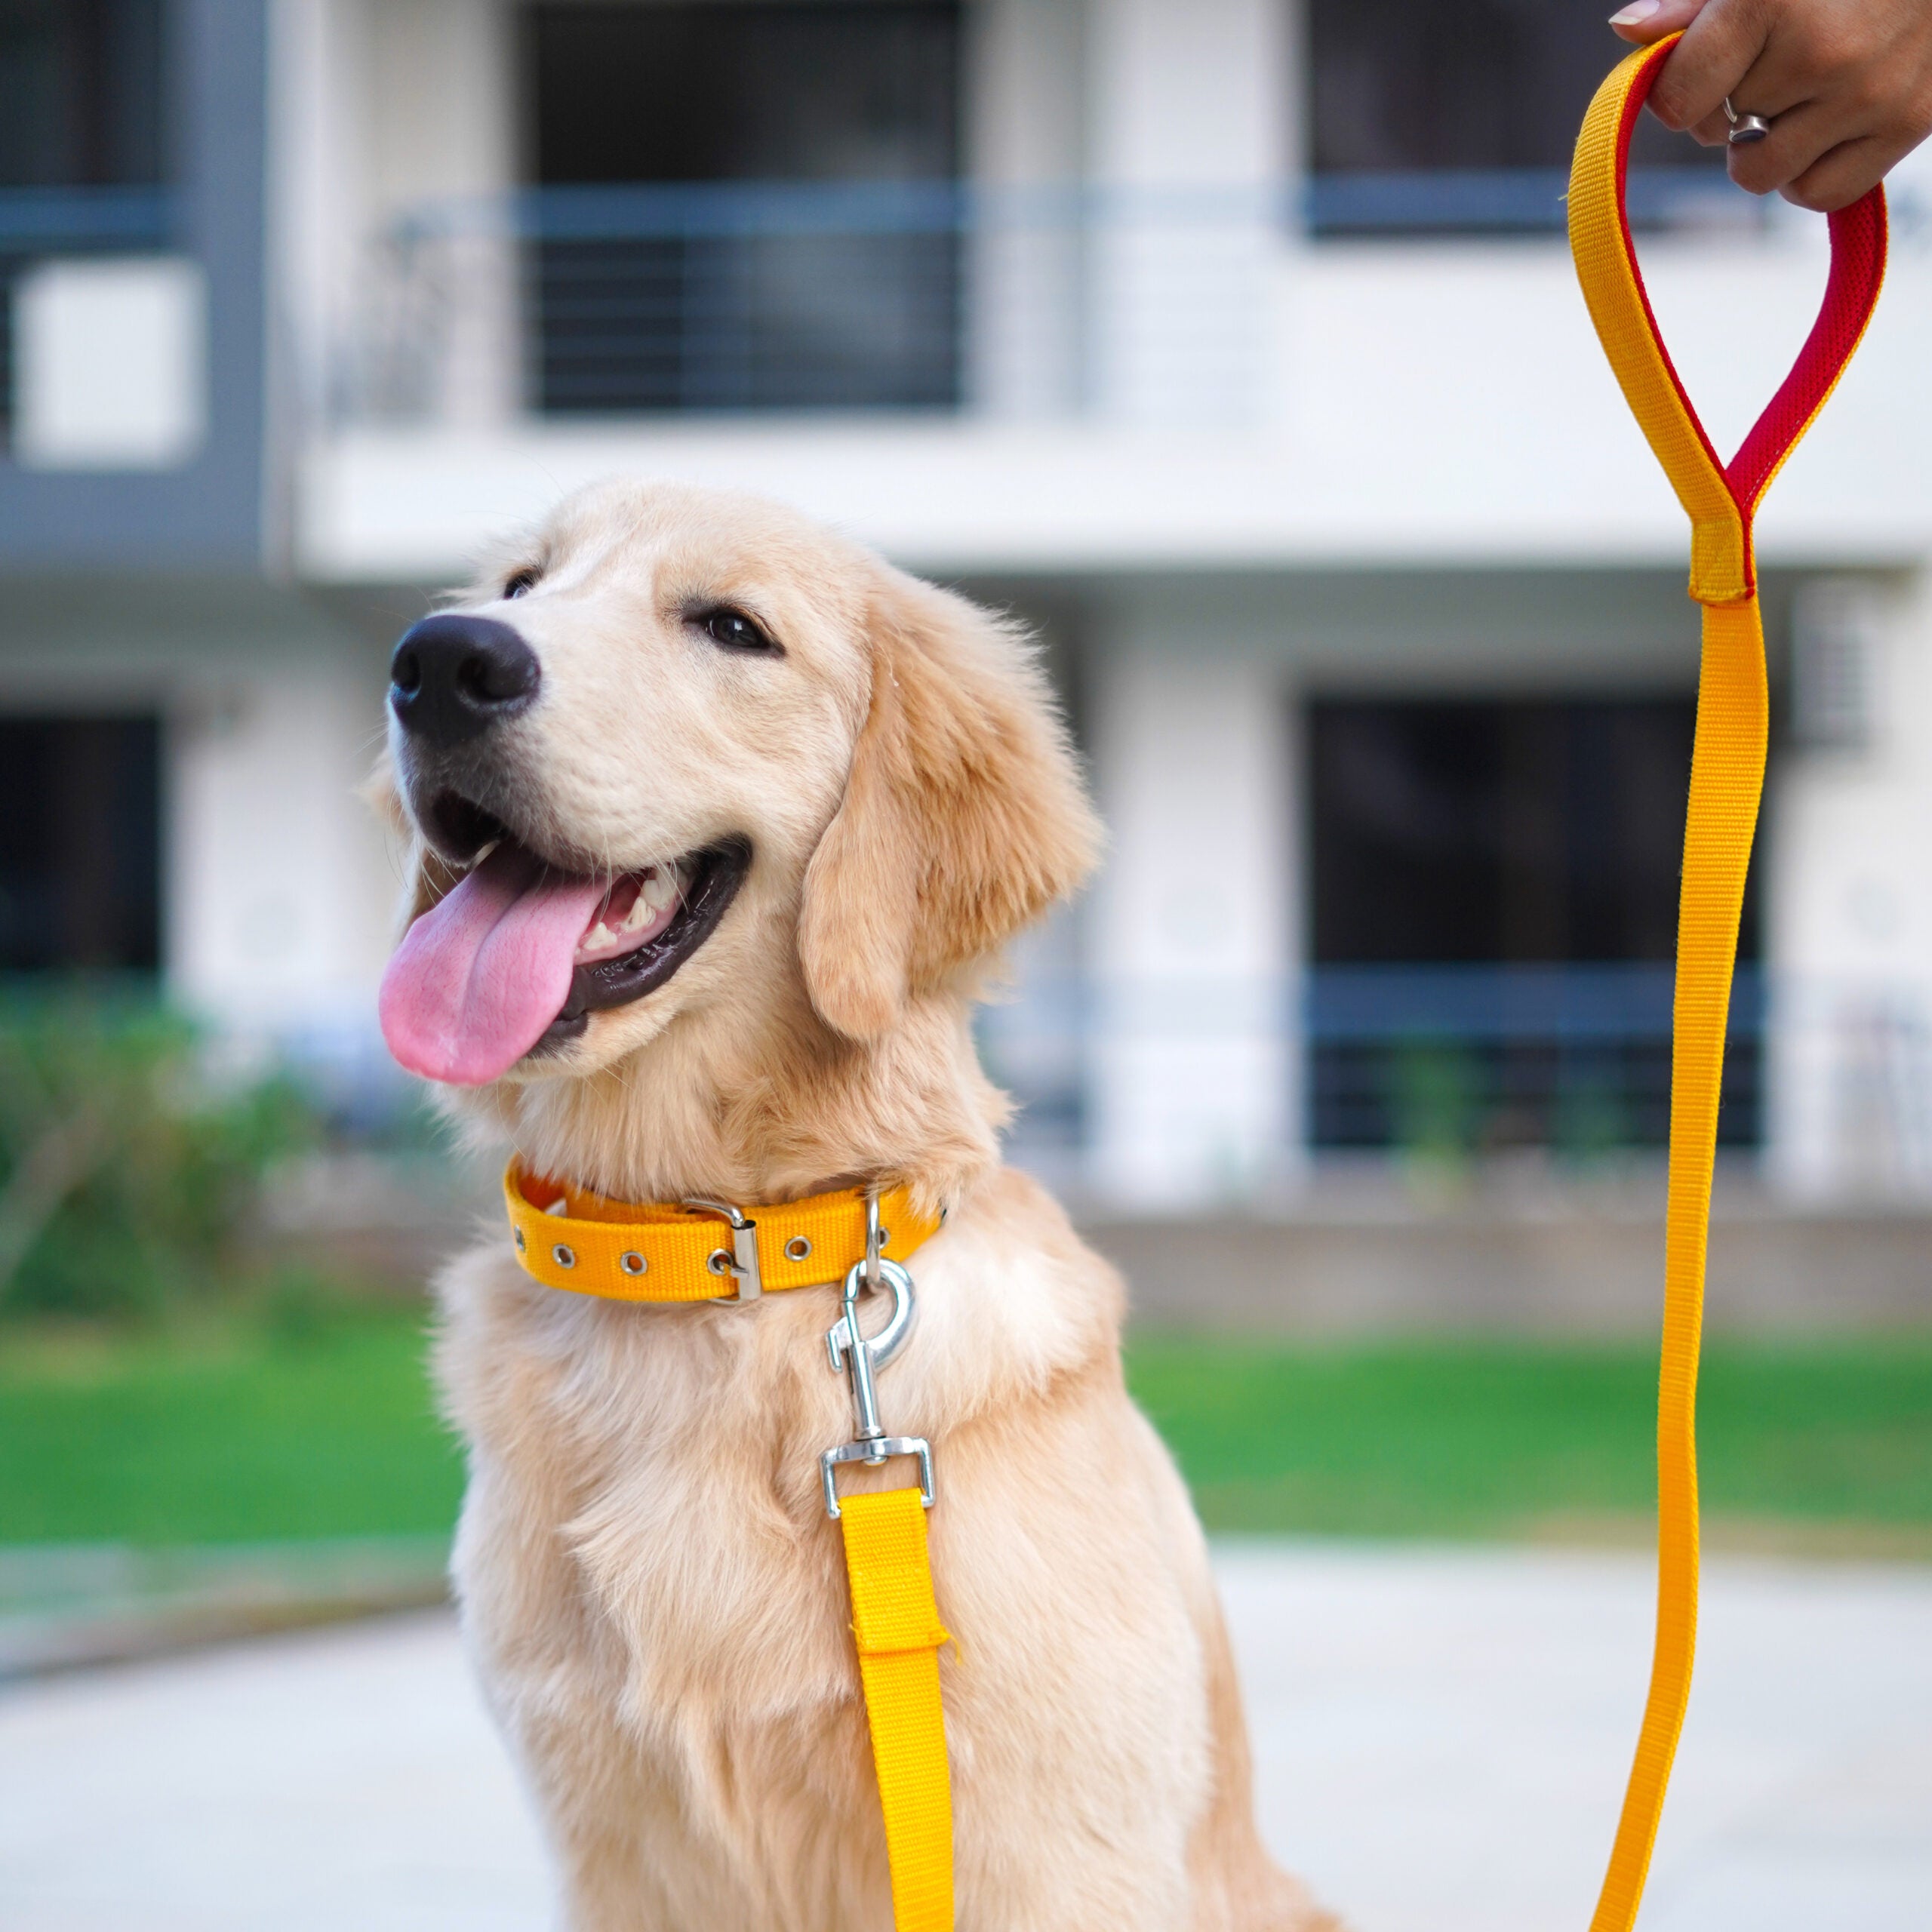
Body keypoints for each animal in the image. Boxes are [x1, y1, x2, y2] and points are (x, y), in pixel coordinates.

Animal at [373, 483, 1344, 1932]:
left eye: (734, 627)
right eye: (521, 585)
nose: (440, 662)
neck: (724, 1266)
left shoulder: (1058, 1848)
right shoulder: (619, 1850)